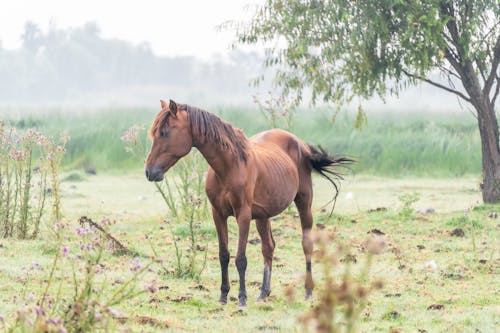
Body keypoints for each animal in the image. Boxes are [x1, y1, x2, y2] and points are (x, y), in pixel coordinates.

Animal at [146, 100, 352, 308]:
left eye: (165, 133)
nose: (150, 172)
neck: (230, 166)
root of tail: (301, 144)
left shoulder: (243, 215)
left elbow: (241, 259)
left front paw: (242, 298)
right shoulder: (218, 214)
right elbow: (224, 255)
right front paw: (223, 296)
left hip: (303, 202)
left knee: (306, 245)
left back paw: (308, 291)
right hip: (263, 216)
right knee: (268, 248)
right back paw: (263, 293)